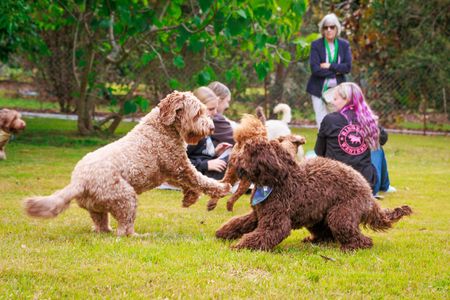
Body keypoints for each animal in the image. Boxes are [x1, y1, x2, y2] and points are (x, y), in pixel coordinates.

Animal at [23, 90, 230, 236]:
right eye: (197, 113)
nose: (212, 127)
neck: (161, 127)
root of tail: (79, 182)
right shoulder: (178, 166)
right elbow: (201, 180)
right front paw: (222, 188)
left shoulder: (172, 171)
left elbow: (191, 183)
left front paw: (189, 199)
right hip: (125, 197)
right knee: (124, 231)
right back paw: (140, 236)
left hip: (99, 208)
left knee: (101, 225)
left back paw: (105, 230)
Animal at [216, 138, 414, 251]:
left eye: (248, 152)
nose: (233, 162)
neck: (277, 181)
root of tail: (369, 193)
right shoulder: (258, 214)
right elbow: (238, 222)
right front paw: (223, 232)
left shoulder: (275, 221)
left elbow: (260, 235)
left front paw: (240, 245)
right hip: (317, 218)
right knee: (327, 235)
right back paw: (315, 241)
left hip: (341, 215)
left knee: (362, 239)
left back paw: (350, 248)